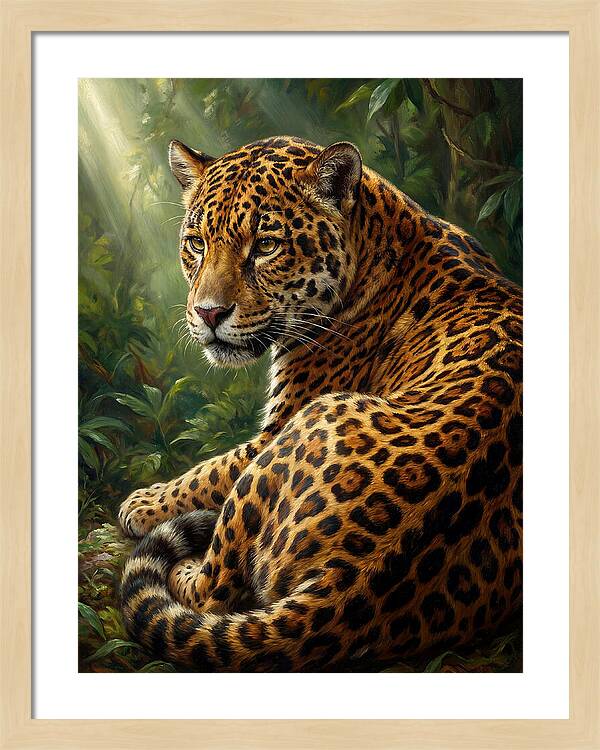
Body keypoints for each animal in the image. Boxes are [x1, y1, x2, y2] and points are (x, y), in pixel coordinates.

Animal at [119, 135, 522, 672]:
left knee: (213, 591)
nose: (208, 313)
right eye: (198, 242)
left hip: (306, 425)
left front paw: (143, 503)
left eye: (266, 245)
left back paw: (185, 564)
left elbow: (210, 471)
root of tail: (348, 585)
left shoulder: (279, 424)